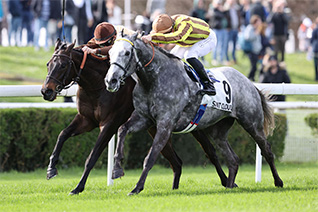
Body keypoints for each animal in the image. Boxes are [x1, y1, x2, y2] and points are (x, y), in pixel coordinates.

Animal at [41, 39, 231, 195]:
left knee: (210, 152)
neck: (97, 85)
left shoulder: (109, 124)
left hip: (190, 126)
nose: (46, 91)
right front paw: (51, 169)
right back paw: (175, 188)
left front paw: (78, 187)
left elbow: (92, 156)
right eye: (48, 64)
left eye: (63, 65)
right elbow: (62, 134)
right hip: (155, 128)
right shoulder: (86, 120)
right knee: (176, 161)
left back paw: (227, 181)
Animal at [105, 32, 284, 195]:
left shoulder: (165, 124)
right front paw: (117, 169)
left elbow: (151, 157)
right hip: (218, 131)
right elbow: (122, 129)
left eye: (127, 53)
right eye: (110, 52)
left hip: (251, 123)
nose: (110, 80)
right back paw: (229, 186)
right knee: (233, 159)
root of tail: (250, 83)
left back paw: (278, 182)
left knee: (267, 150)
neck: (154, 80)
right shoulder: (144, 118)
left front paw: (137, 188)